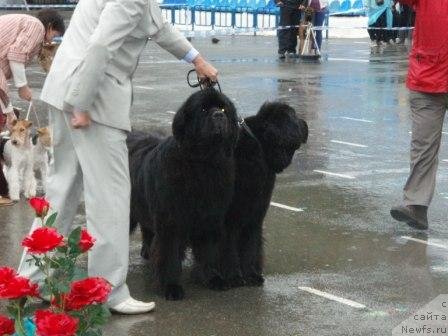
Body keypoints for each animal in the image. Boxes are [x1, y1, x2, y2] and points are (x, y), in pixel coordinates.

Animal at [128, 88, 240, 300]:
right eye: (203, 109)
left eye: (223, 108)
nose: (219, 116)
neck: (203, 163)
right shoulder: (171, 221)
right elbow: (169, 254)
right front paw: (171, 287)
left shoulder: (210, 217)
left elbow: (209, 251)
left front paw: (213, 278)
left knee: (147, 229)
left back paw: (147, 251)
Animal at [220, 101, 310, 288]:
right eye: (293, 116)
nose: (305, 124)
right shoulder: (232, 217)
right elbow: (229, 246)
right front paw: (232, 277)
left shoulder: (255, 213)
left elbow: (251, 244)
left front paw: (251, 274)